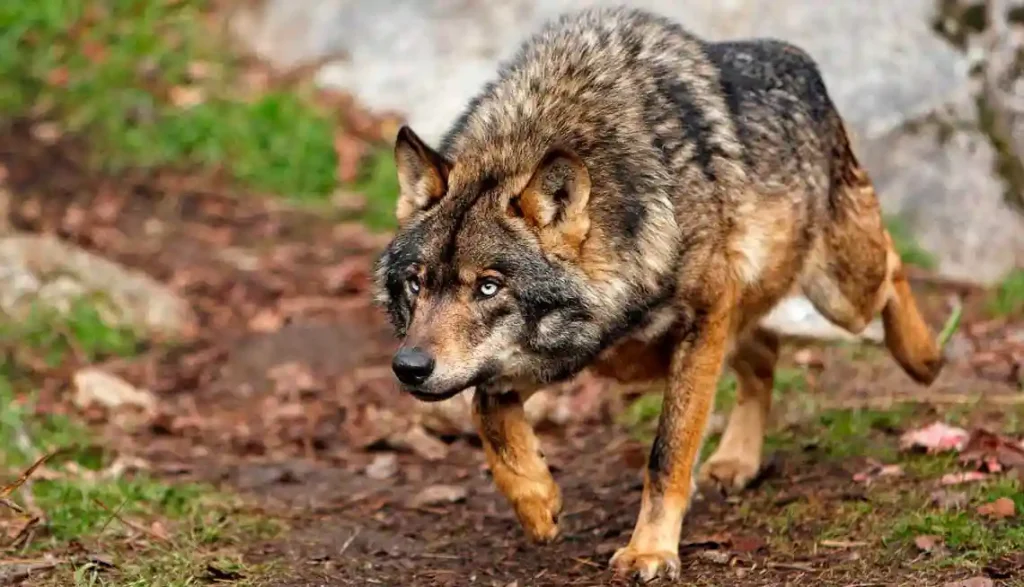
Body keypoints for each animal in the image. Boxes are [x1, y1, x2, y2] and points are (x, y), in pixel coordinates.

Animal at [370, 5, 942, 581]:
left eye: (488, 287)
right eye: (416, 283)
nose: (409, 367)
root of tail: (796, 56)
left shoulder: (702, 321)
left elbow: (667, 453)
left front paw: (650, 550)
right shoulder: (569, 350)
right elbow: (487, 409)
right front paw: (537, 502)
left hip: (839, 292)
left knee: (891, 267)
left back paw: (925, 358)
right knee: (764, 351)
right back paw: (737, 461)